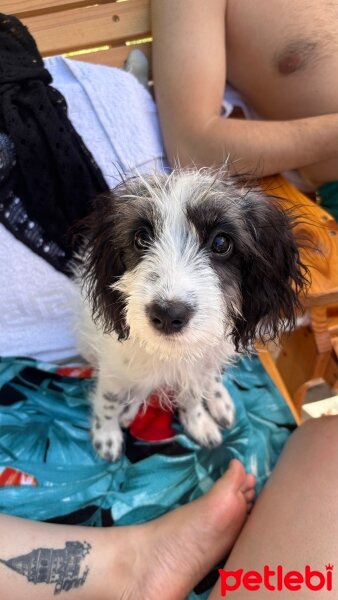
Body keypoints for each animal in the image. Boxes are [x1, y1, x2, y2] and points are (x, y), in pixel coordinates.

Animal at [78, 168, 308, 460]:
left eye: (221, 242)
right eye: (141, 238)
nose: (167, 314)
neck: (172, 354)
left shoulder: (195, 367)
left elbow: (192, 394)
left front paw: (198, 422)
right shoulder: (114, 366)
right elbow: (108, 400)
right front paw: (106, 436)